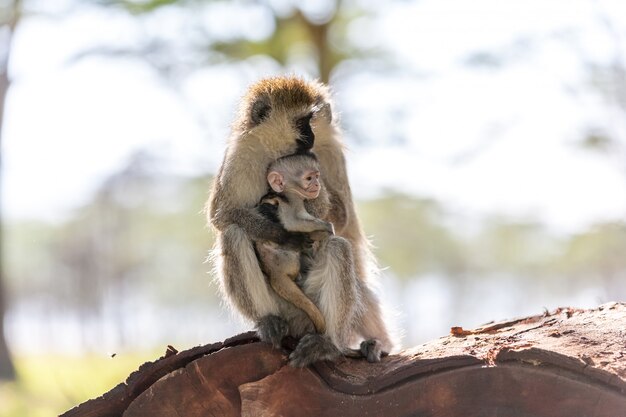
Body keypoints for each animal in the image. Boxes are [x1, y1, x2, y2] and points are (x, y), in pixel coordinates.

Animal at [254, 152, 334, 332]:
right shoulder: (292, 200)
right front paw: (327, 227)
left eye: (316, 176)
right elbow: (293, 222)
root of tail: (273, 272)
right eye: (309, 178)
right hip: (285, 259)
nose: (317, 183)